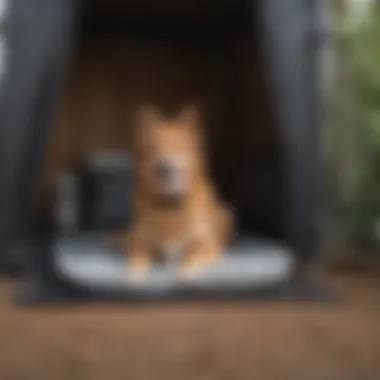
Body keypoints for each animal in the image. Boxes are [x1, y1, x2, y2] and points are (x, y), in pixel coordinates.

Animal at [126, 105, 233, 280]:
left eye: (179, 146)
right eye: (156, 146)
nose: (164, 165)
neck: (171, 208)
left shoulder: (208, 245)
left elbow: (191, 259)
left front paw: (184, 274)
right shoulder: (140, 241)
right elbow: (137, 257)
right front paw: (135, 274)